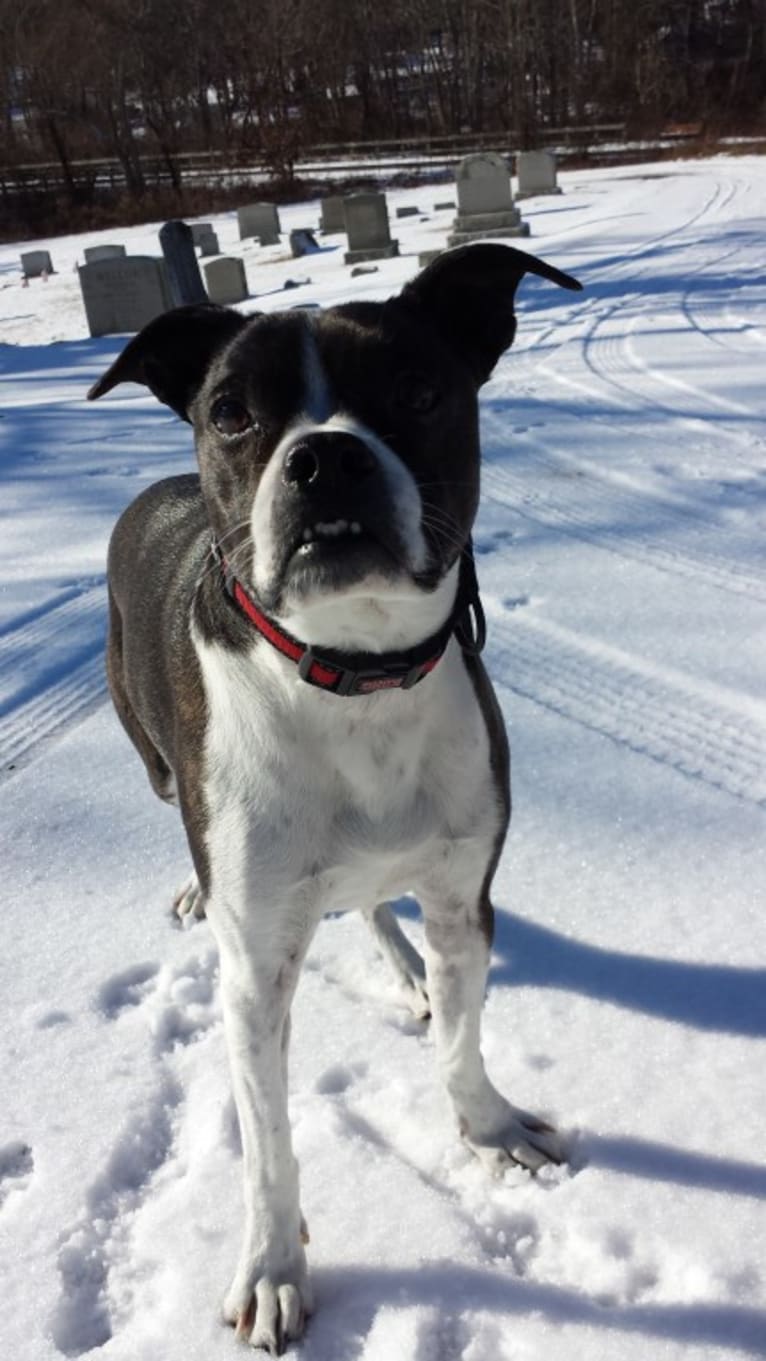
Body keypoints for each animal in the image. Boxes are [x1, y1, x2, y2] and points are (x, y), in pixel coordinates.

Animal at [89, 242, 582, 1350]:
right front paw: (273, 1268)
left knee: (367, 899)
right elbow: (268, 1140)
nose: (323, 458)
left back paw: (400, 966)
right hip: (150, 752)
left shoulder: (462, 894)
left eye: (418, 388)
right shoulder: (255, 961)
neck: (355, 672)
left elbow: (460, 1037)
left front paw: (488, 1130)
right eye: (231, 411)